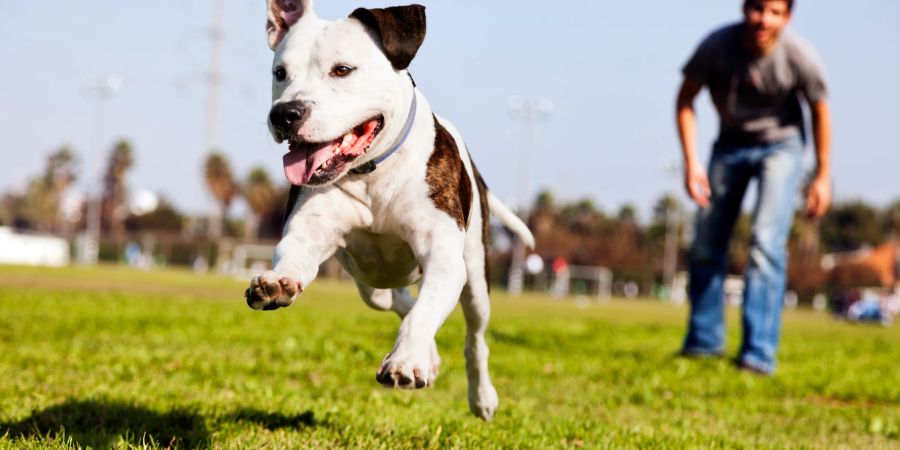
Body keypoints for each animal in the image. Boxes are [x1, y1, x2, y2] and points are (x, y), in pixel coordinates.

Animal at [244, 0, 536, 422]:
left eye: (342, 69)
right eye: (280, 73)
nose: (285, 113)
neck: (371, 172)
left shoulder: (443, 257)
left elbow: (424, 312)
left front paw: (406, 361)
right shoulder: (308, 231)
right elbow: (295, 255)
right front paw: (277, 283)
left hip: (476, 279)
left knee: (474, 337)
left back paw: (480, 396)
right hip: (370, 282)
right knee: (396, 300)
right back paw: (431, 356)